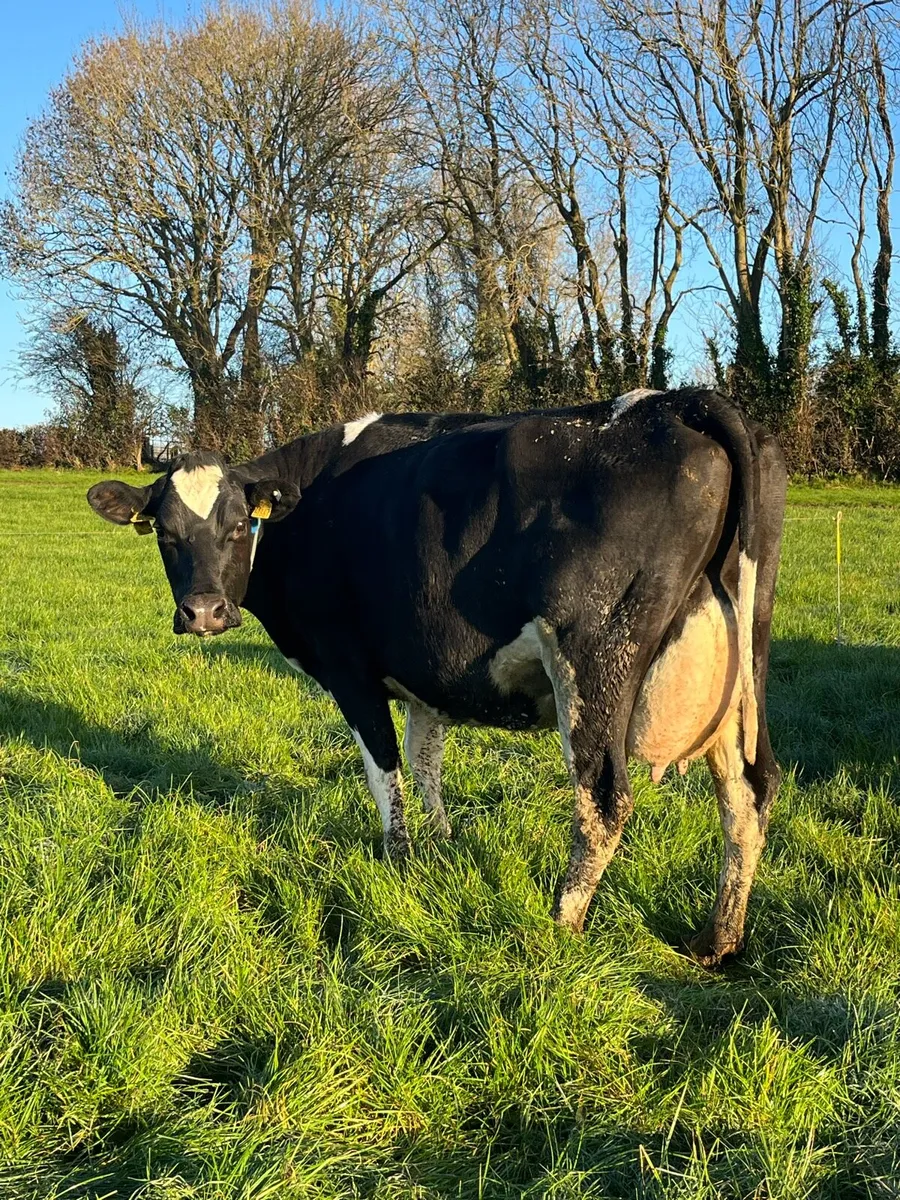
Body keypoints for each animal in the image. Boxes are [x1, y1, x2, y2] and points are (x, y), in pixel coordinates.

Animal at [87, 389, 786, 965]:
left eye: (237, 525)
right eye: (165, 533)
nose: (204, 612)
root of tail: (677, 401)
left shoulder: (350, 668)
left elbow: (385, 769)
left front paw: (398, 857)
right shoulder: (427, 670)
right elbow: (426, 761)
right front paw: (442, 848)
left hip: (594, 659)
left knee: (604, 796)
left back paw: (560, 923)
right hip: (741, 666)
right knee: (750, 789)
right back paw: (717, 940)